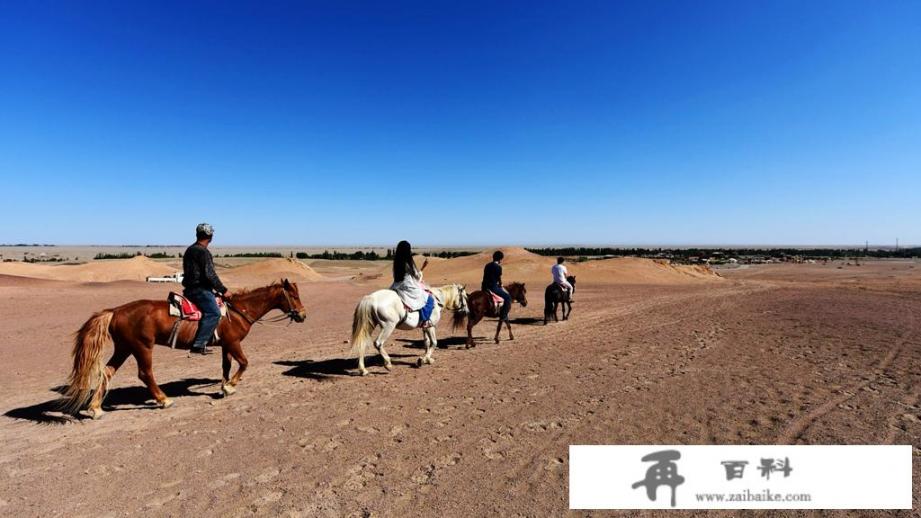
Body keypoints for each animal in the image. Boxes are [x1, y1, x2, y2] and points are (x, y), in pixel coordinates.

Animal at [62, 278, 306, 420]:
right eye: (293, 295)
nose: (303, 315)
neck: (239, 311)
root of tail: (116, 310)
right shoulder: (234, 343)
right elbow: (244, 363)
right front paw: (230, 387)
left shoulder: (226, 345)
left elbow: (226, 366)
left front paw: (224, 386)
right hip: (142, 347)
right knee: (145, 373)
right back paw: (164, 400)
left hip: (124, 347)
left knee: (107, 372)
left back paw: (95, 408)